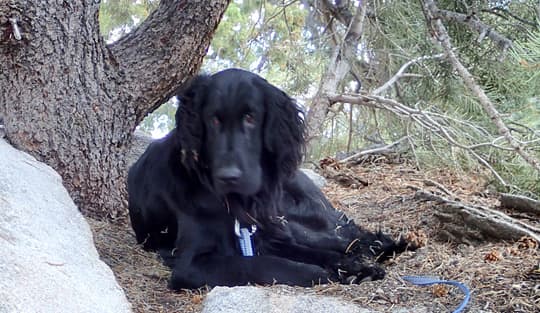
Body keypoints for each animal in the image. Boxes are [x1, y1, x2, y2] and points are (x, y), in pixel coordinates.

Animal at [127, 68, 410, 288]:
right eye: (213, 120)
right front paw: (327, 273)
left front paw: (353, 268)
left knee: (347, 237)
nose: (229, 176)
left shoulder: (266, 235)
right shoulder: (192, 263)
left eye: (250, 118)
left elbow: (313, 253)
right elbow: (261, 263)